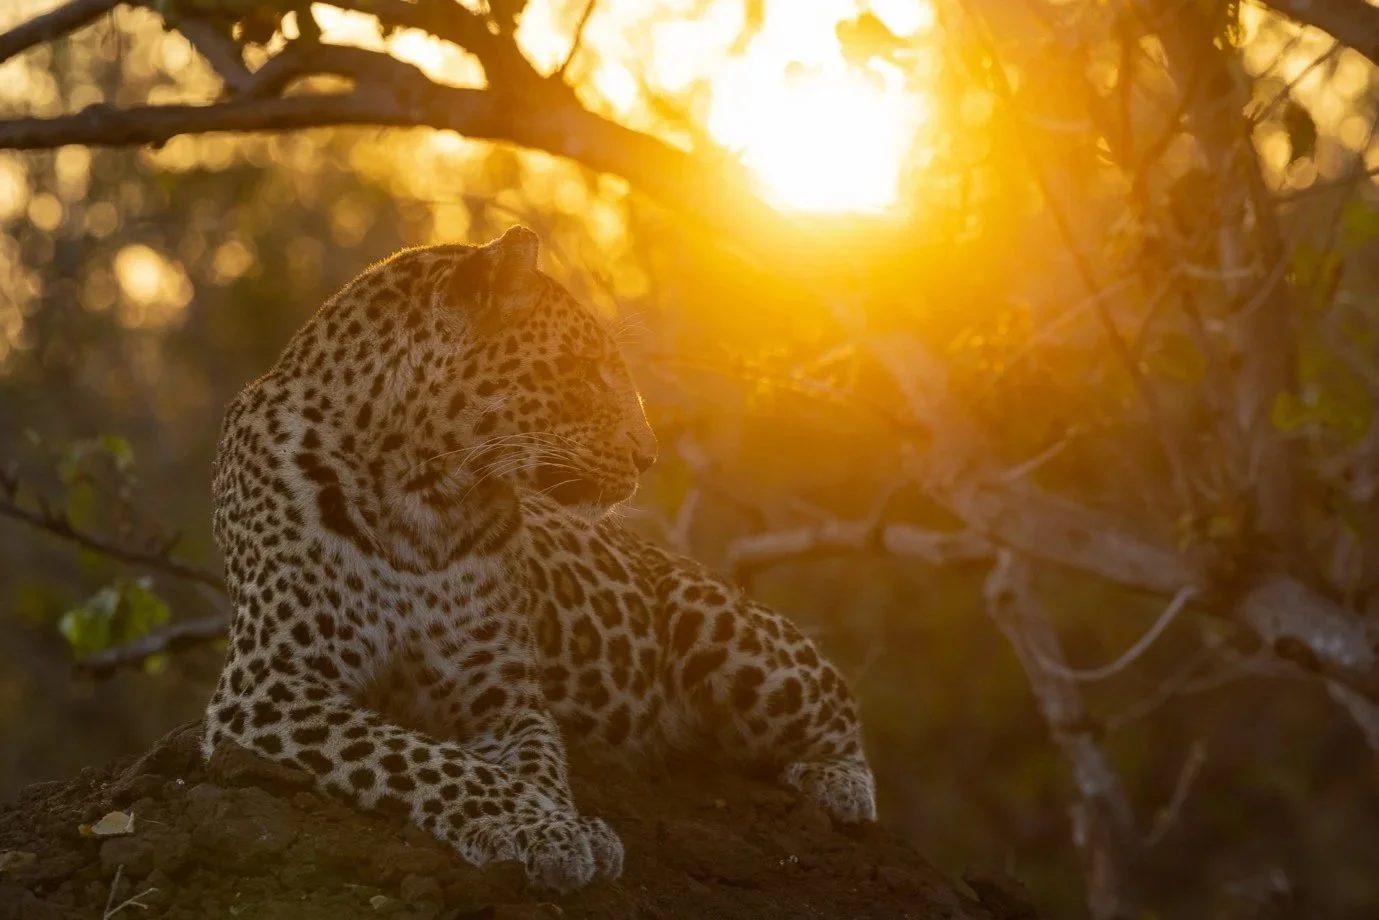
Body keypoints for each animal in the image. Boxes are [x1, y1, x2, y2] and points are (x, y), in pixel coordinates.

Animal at [203, 226, 876, 894]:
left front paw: (560, 825)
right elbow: (426, 758)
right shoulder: (272, 685)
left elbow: (533, 765)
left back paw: (838, 785)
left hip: (726, 630)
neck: (421, 497)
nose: (650, 455)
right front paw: (547, 829)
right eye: (584, 369)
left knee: (839, 707)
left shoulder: (503, 695)